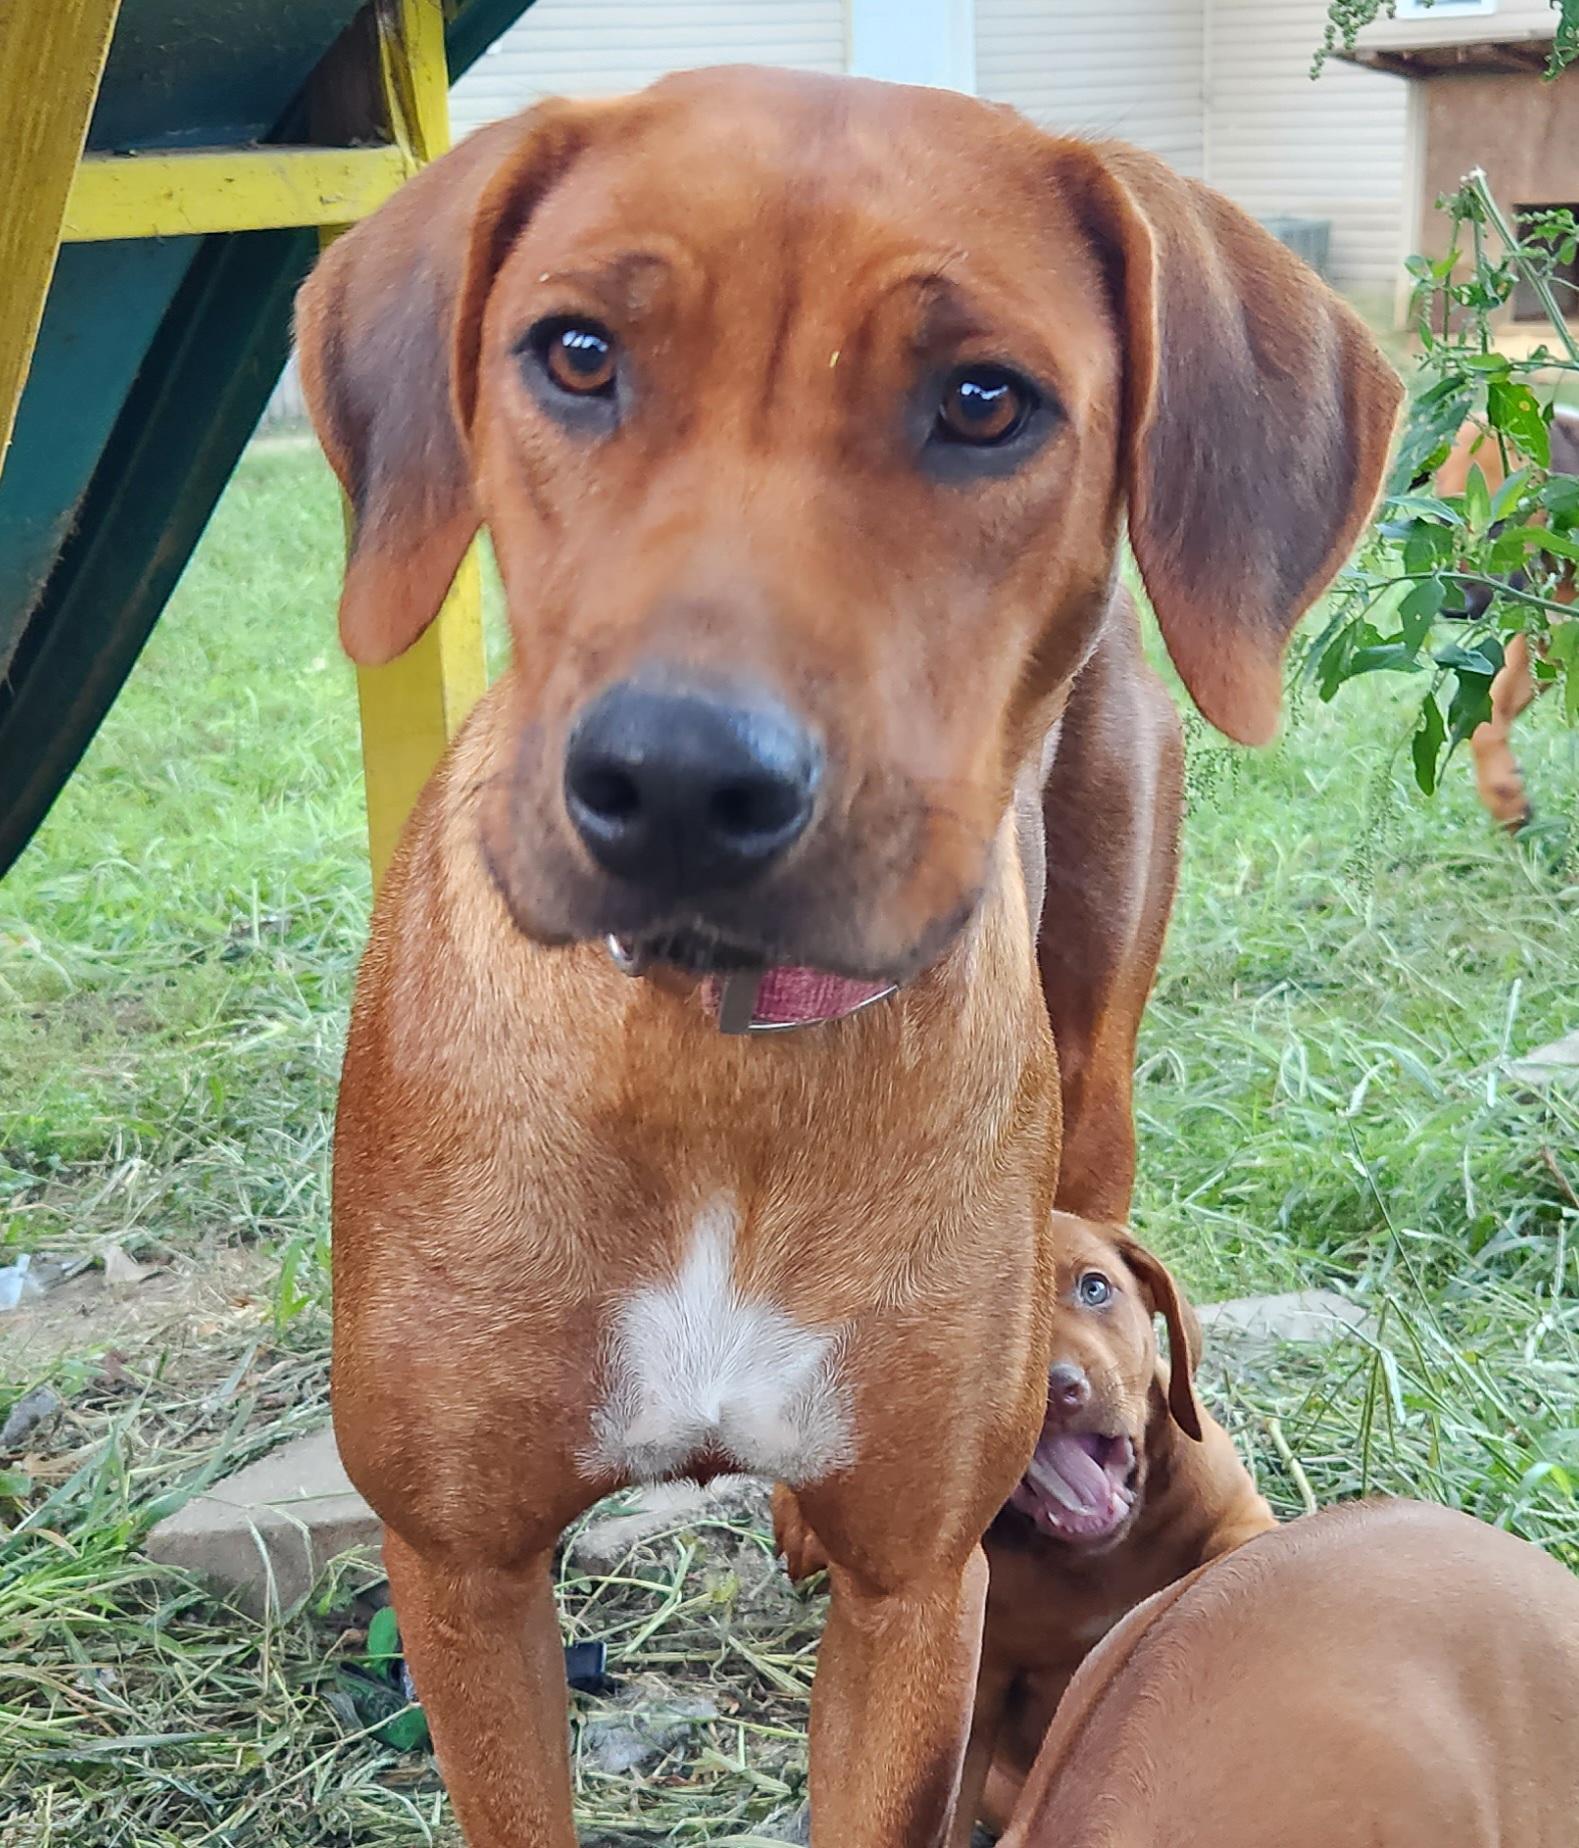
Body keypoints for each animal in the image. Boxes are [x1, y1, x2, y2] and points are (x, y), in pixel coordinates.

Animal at [1437, 406, 1578, 829]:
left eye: (1500, 523)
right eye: (1444, 522)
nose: (1456, 608)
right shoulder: (1557, 630)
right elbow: (1491, 715)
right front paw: (1506, 797)